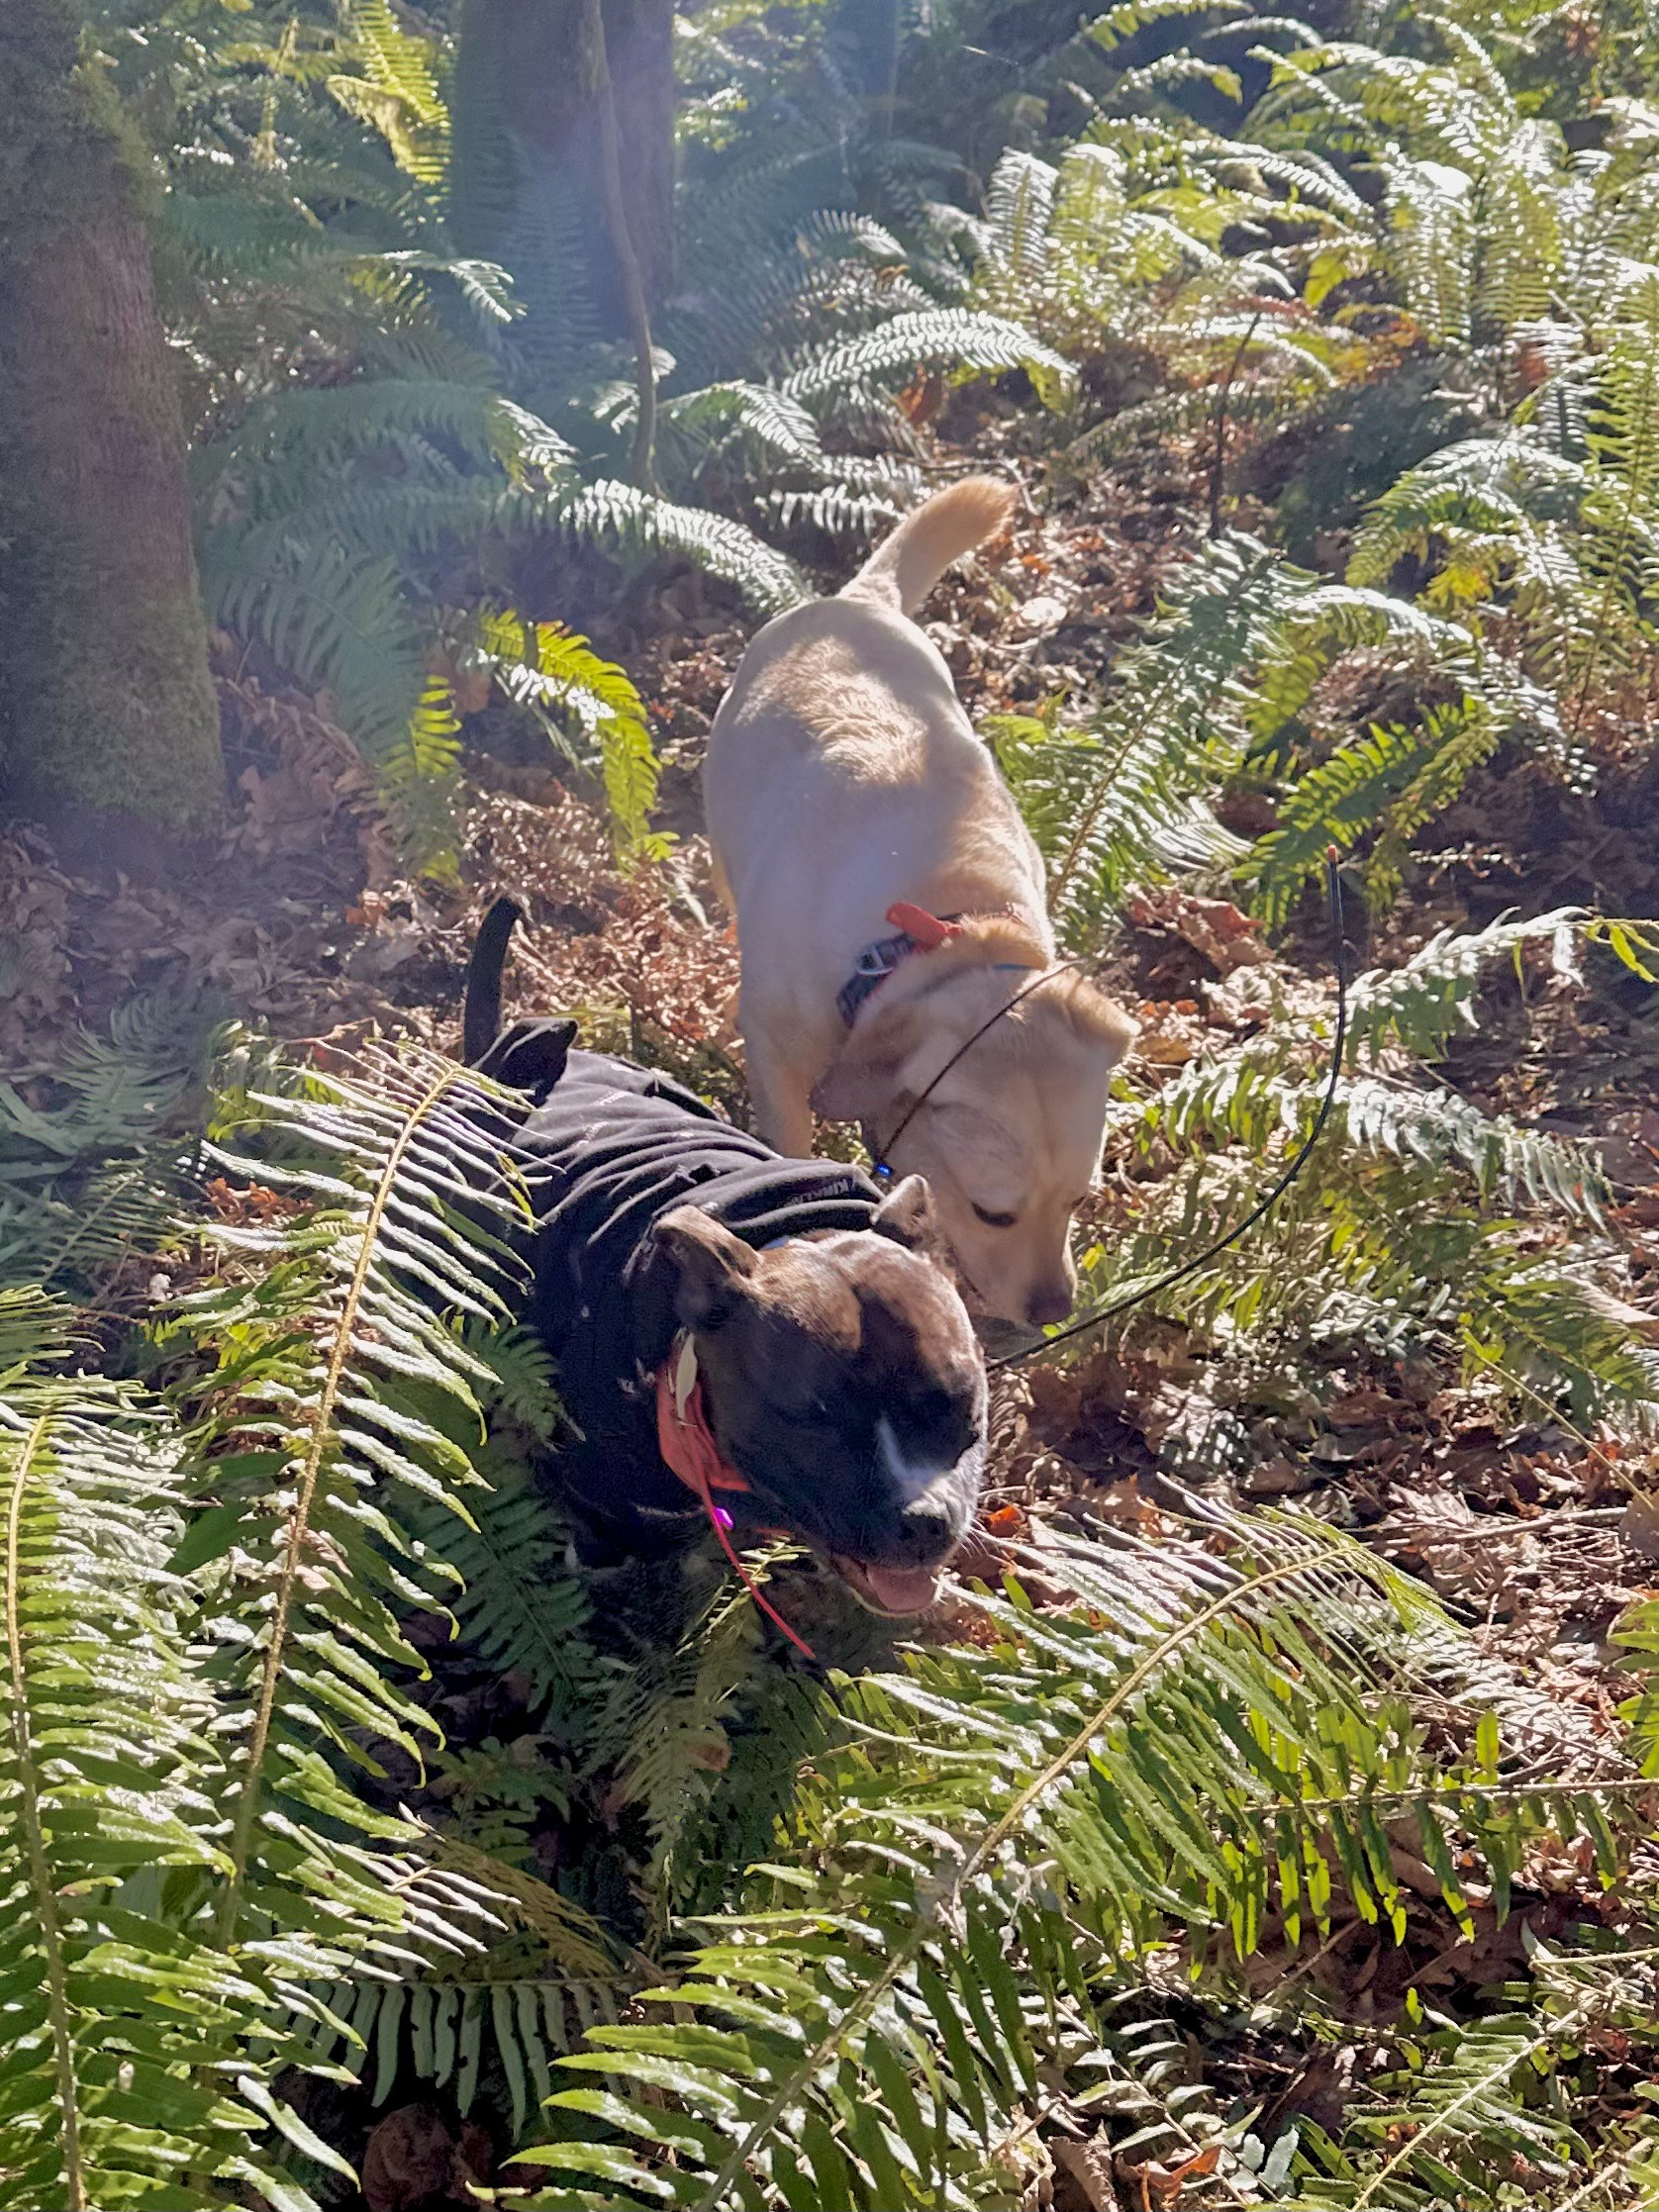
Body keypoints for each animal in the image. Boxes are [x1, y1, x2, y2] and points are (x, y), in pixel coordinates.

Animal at [703, 473, 1141, 1318]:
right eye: (993, 1211)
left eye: (1079, 1199)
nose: (1055, 1312)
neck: (941, 930)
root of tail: (857, 598)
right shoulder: (774, 1050)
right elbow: (787, 1140)